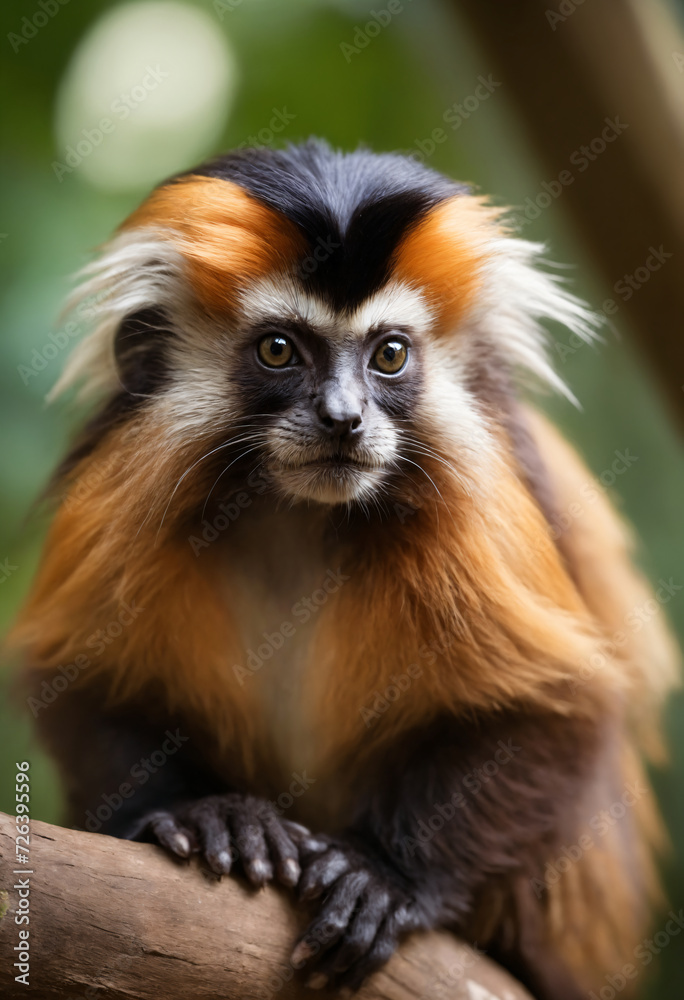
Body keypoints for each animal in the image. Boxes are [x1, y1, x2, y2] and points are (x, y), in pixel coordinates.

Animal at [10, 140, 679, 1000]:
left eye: (388, 355)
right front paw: (207, 814)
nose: (344, 418)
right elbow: (80, 679)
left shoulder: (477, 497)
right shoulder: (132, 479)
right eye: (280, 351)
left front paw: (387, 875)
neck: (303, 513)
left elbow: (560, 706)